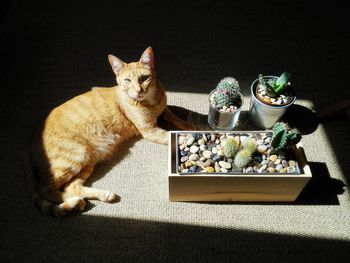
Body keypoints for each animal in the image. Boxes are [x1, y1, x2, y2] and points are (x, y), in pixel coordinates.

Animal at [25, 47, 193, 217]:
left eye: (145, 78)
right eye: (127, 81)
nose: (139, 91)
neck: (151, 103)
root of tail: (34, 138)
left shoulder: (163, 111)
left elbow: (174, 117)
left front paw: (189, 125)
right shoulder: (149, 130)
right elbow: (170, 133)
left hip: (87, 160)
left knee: (71, 187)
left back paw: (99, 196)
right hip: (75, 156)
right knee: (45, 189)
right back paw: (74, 202)